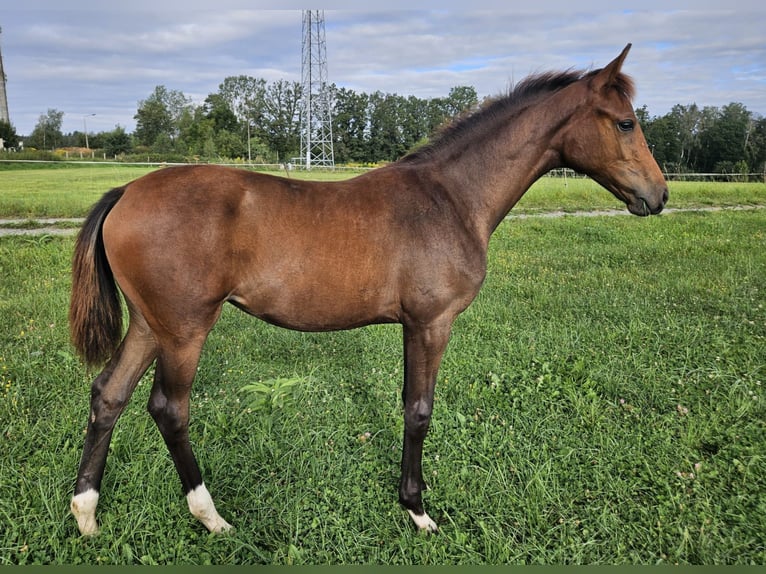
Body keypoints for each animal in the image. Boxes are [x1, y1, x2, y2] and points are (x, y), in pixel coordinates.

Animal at [73, 44, 672, 536]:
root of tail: (127, 191)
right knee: (168, 408)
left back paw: (86, 512)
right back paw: (209, 514)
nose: (659, 195)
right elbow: (419, 409)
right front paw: (417, 508)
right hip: (185, 328)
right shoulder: (430, 323)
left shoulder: (415, 324)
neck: (451, 198)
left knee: (109, 394)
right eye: (626, 122)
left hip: (150, 323)